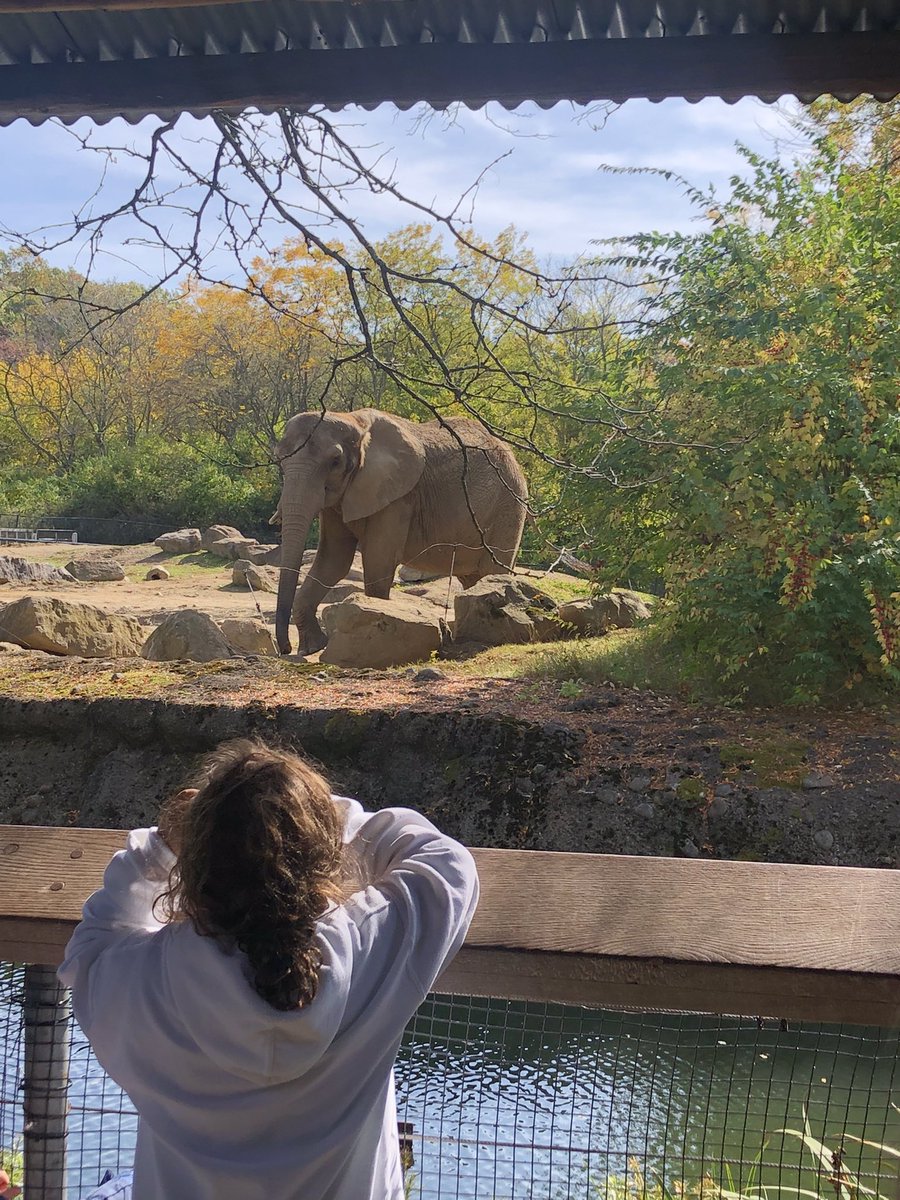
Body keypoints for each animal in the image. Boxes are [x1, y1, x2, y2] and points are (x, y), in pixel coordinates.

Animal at [273, 408, 528, 655]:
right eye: (280, 460)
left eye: (335, 461)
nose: (285, 649)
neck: (352, 419)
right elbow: (333, 560)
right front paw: (312, 648)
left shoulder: (398, 497)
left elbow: (377, 561)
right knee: (471, 580)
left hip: (507, 505)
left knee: (491, 572)